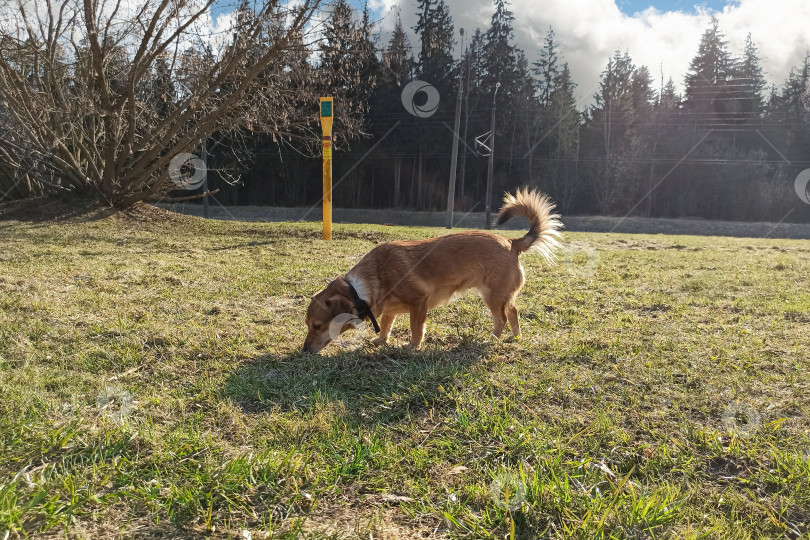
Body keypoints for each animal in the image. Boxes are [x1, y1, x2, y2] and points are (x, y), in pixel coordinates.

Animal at [300, 190, 560, 354]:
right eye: (309, 325)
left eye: (317, 326)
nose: (304, 350)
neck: (362, 289)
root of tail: (511, 242)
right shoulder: (388, 310)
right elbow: (385, 324)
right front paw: (381, 340)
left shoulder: (418, 302)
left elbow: (416, 328)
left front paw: (413, 346)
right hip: (502, 295)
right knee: (514, 312)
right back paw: (515, 337)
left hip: (492, 296)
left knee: (502, 318)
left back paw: (493, 339)